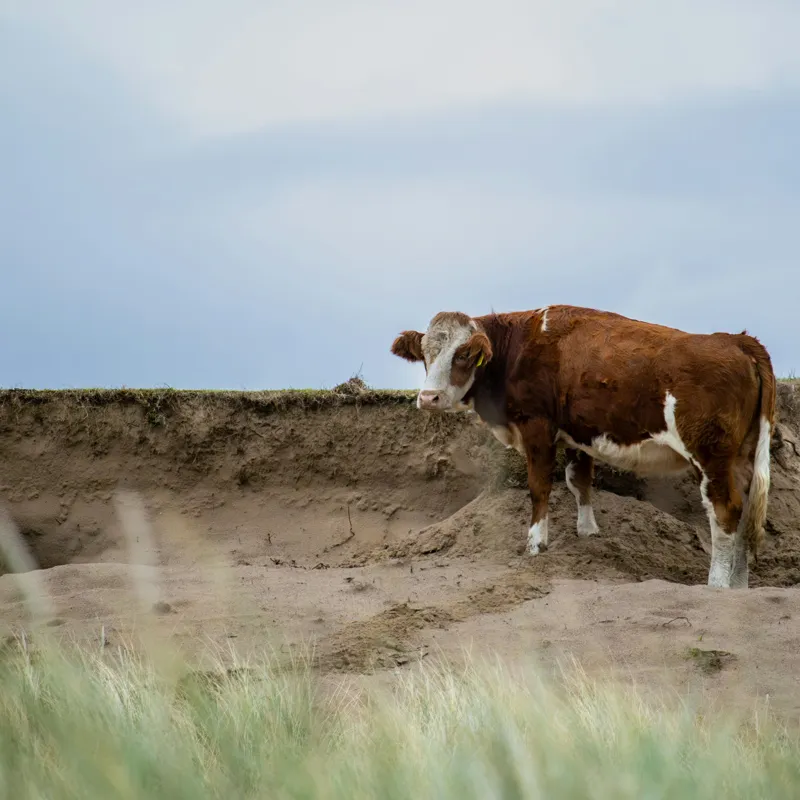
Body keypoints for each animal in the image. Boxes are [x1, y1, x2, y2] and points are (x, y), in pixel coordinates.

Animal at [391, 305, 776, 589]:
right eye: (426, 355)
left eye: (464, 355)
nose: (428, 398)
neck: (516, 350)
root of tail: (737, 341)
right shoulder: (578, 434)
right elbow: (579, 481)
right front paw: (587, 533)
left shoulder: (537, 426)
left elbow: (540, 487)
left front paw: (536, 543)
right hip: (742, 456)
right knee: (745, 514)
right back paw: (739, 585)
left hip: (710, 456)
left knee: (725, 512)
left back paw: (717, 585)